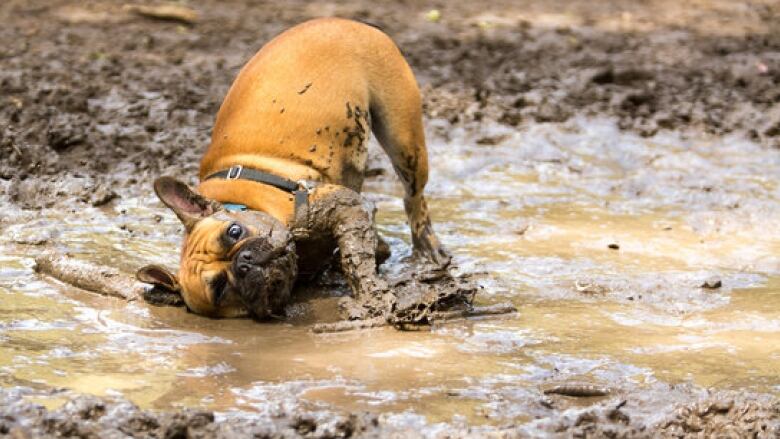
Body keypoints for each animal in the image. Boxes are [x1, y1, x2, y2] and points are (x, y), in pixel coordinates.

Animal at [136, 18, 448, 320]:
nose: (243, 262)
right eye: (220, 288)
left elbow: (356, 257)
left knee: (413, 196)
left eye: (234, 232)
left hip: (403, 139)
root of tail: (345, 21)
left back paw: (428, 248)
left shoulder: (340, 205)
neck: (243, 203)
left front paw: (370, 295)